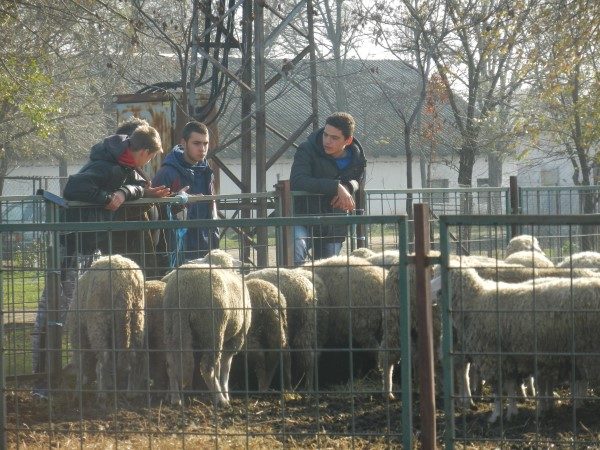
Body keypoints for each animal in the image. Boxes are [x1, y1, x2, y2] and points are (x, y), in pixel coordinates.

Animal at [67, 255, 146, 400]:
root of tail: (124, 281)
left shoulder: (78, 334)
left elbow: (81, 363)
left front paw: (78, 390)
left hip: (98, 321)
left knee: (103, 359)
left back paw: (102, 394)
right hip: (137, 318)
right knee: (134, 356)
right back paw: (131, 393)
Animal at [162, 262, 251, 406]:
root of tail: (184, 290)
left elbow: (219, 367)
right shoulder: (237, 338)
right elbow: (225, 368)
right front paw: (225, 394)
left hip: (170, 325)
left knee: (171, 364)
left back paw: (175, 399)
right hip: (213, 329)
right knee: (207, 368)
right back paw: (220, 400)